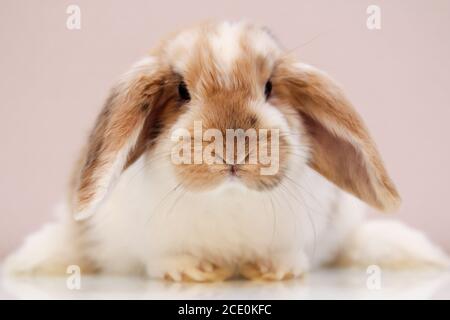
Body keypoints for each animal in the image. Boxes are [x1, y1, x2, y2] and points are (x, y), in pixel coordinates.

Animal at [4, 21, 450, 282]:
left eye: (269, 87)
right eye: (182, 91)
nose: (233, 144)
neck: (229, 197)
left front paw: (275, 270)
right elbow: (164, 258)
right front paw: (192, 271)